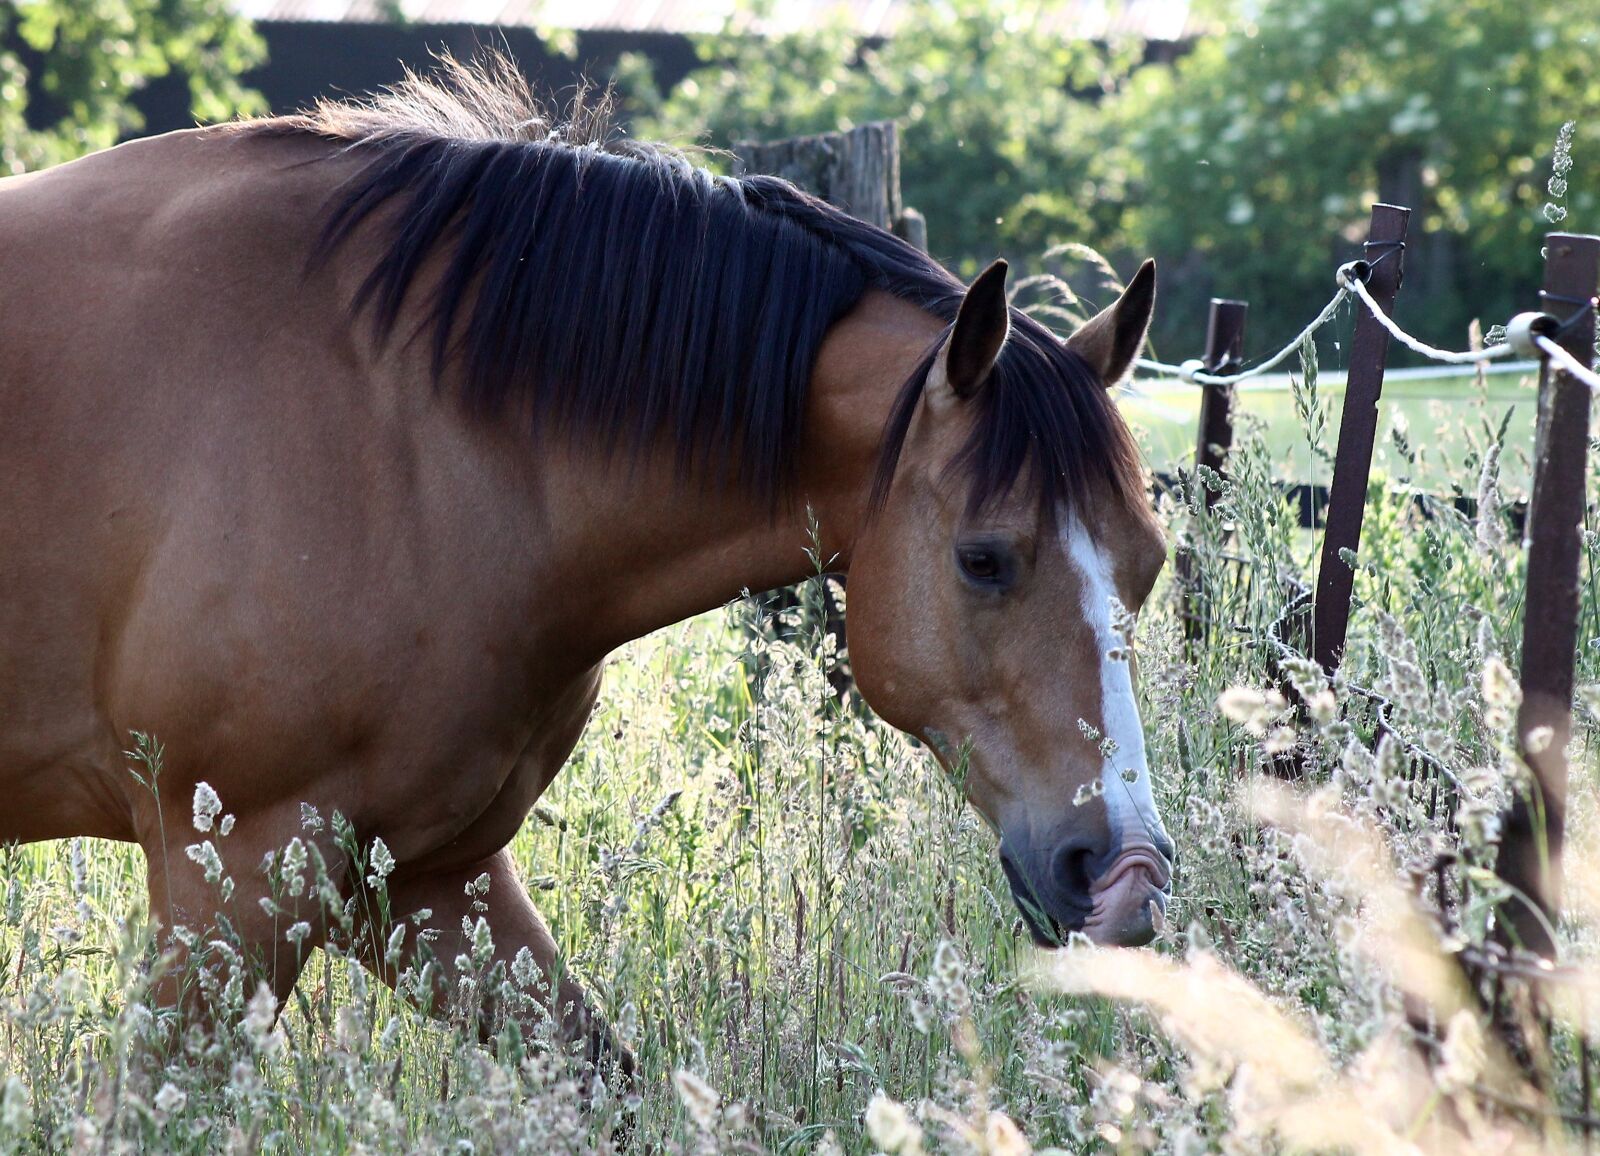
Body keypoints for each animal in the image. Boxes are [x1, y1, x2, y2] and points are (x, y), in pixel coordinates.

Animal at [0, 56, 1177, 1063]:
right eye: (984, 559)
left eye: (1149, 564)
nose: (1125, 875)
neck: (401, 424)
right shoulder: (237, 875)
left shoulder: (424, 875)